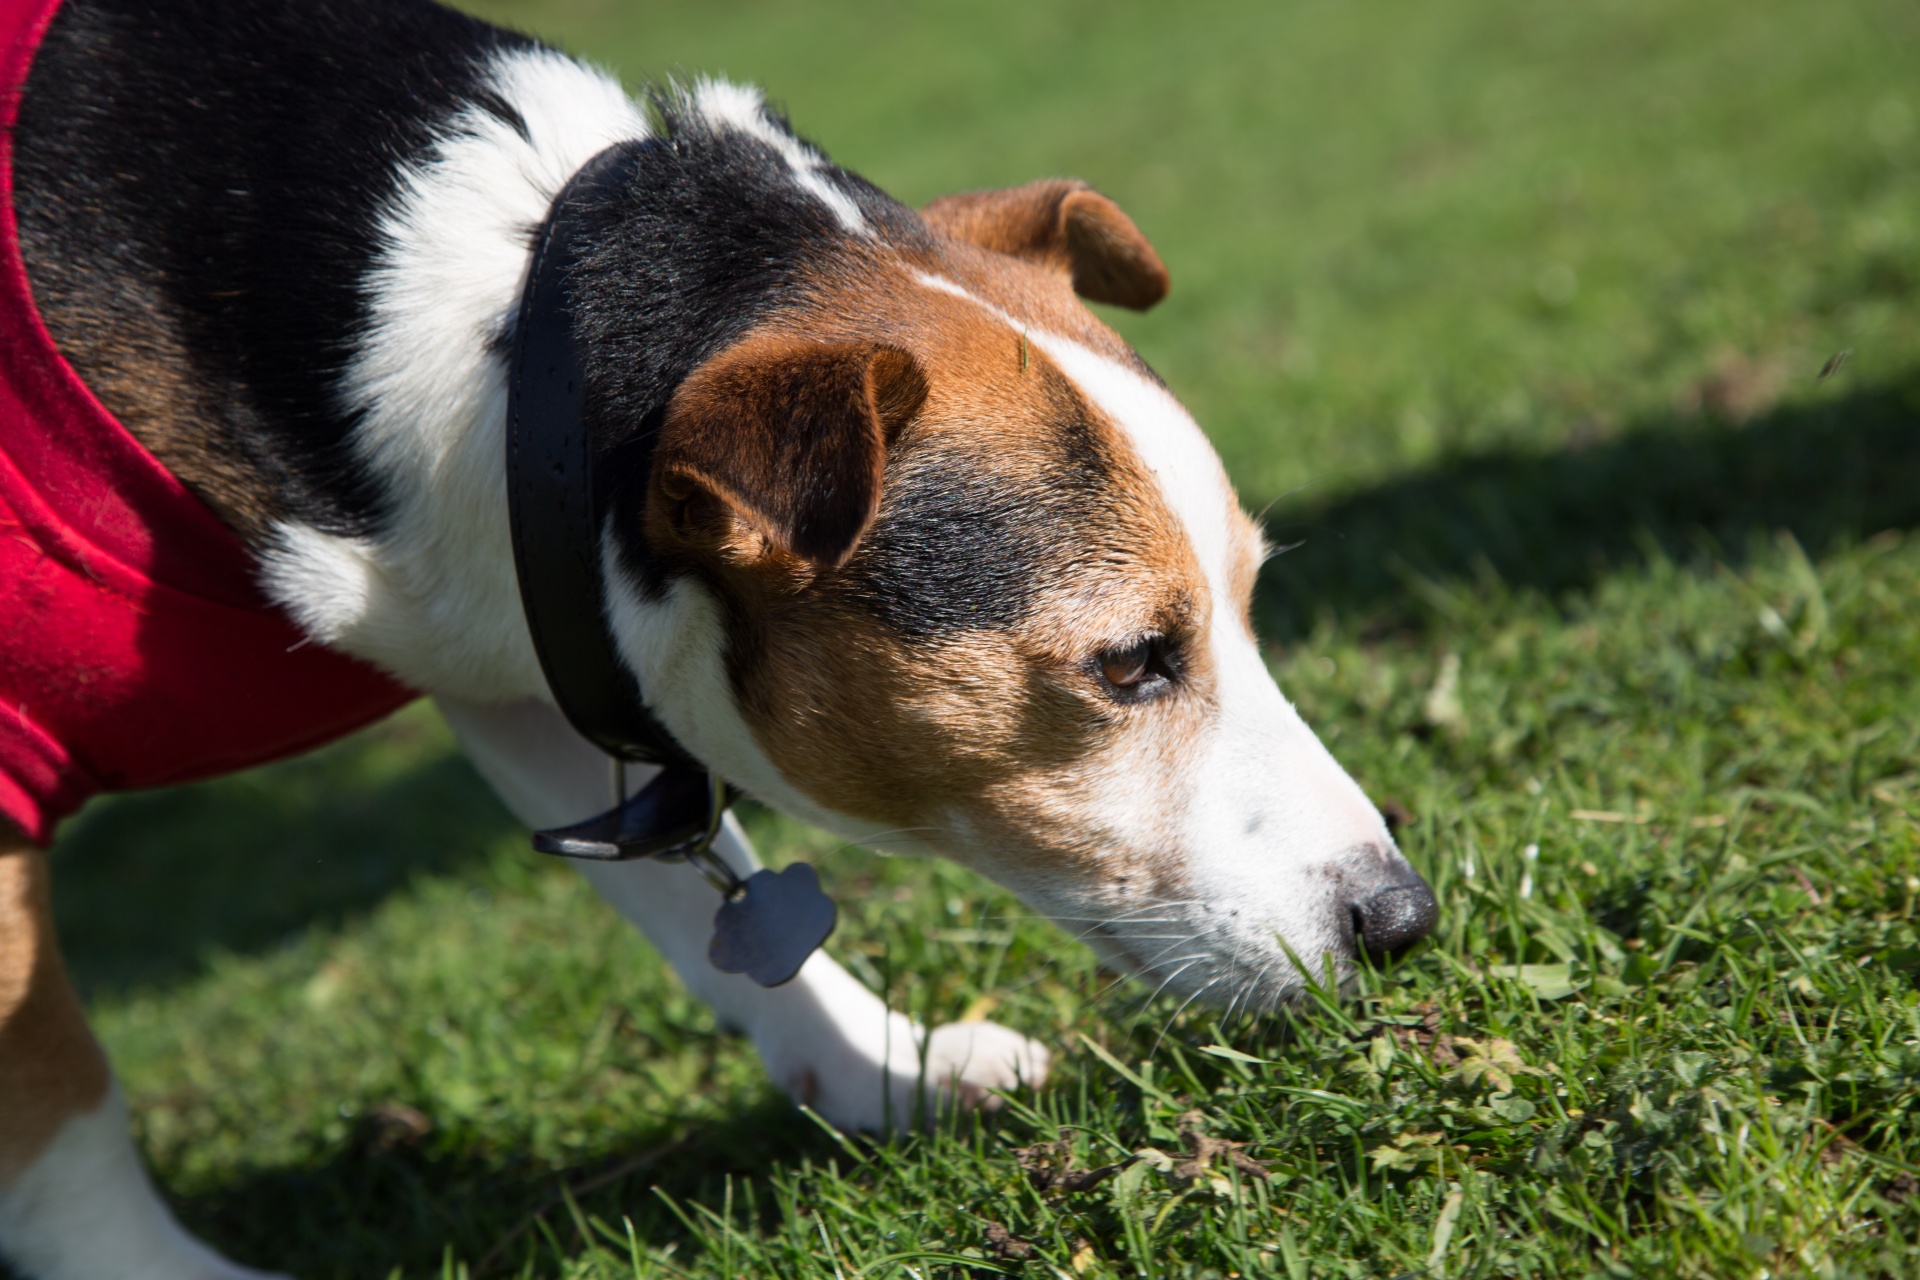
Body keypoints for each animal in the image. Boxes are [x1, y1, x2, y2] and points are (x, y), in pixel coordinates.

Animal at [0, 0, 1443, 1274]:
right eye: (1130, 660)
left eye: (1249, 606)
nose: (1402, 918)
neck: (505, 350)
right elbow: (55, 1098)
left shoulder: (522, 646)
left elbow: (697, 894)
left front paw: (883, 1070)